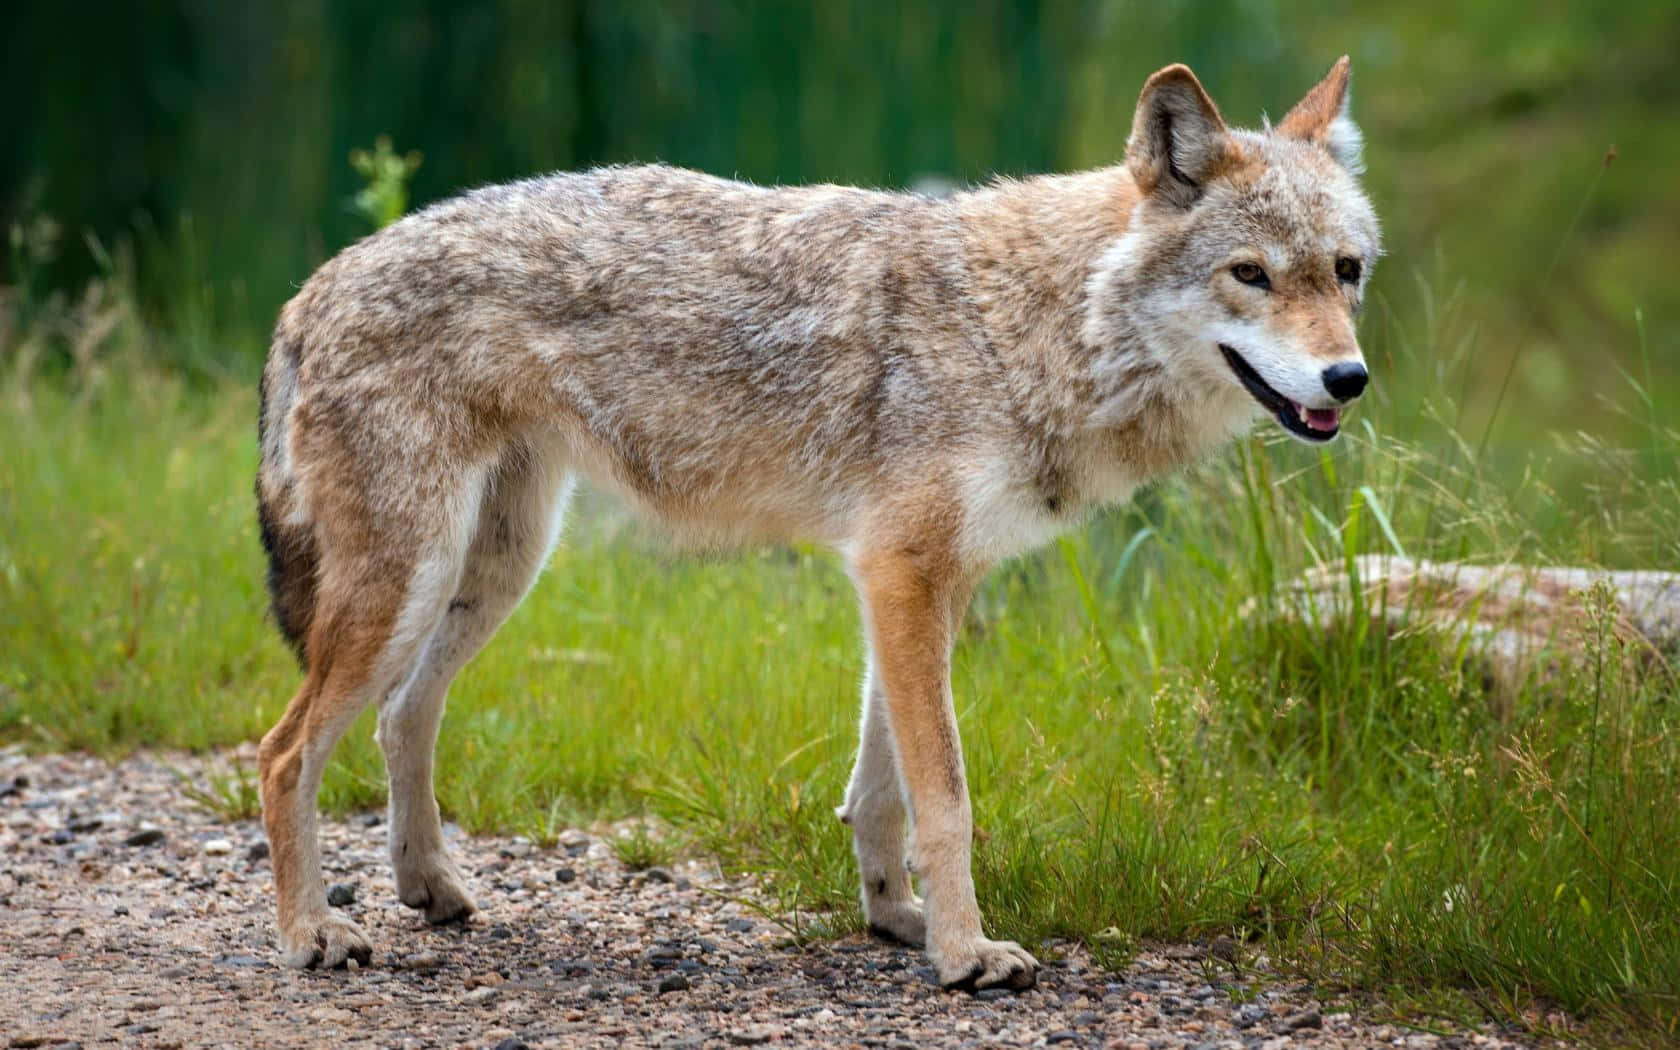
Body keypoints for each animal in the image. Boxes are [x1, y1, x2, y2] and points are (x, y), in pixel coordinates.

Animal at [254, 58, 1378, 990]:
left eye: (1347, 271)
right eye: (1250, 273)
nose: (1349, 378)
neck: (1033, 324)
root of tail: (314, 284)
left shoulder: (920, 583)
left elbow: (882, 789)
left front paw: (898, 920)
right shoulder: (902, 573)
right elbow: (947, 797)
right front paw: (968, 955)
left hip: (492, 573)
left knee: (402, 716)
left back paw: (430, 890)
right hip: (409, 585)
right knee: (282, 752)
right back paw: (313, 933)